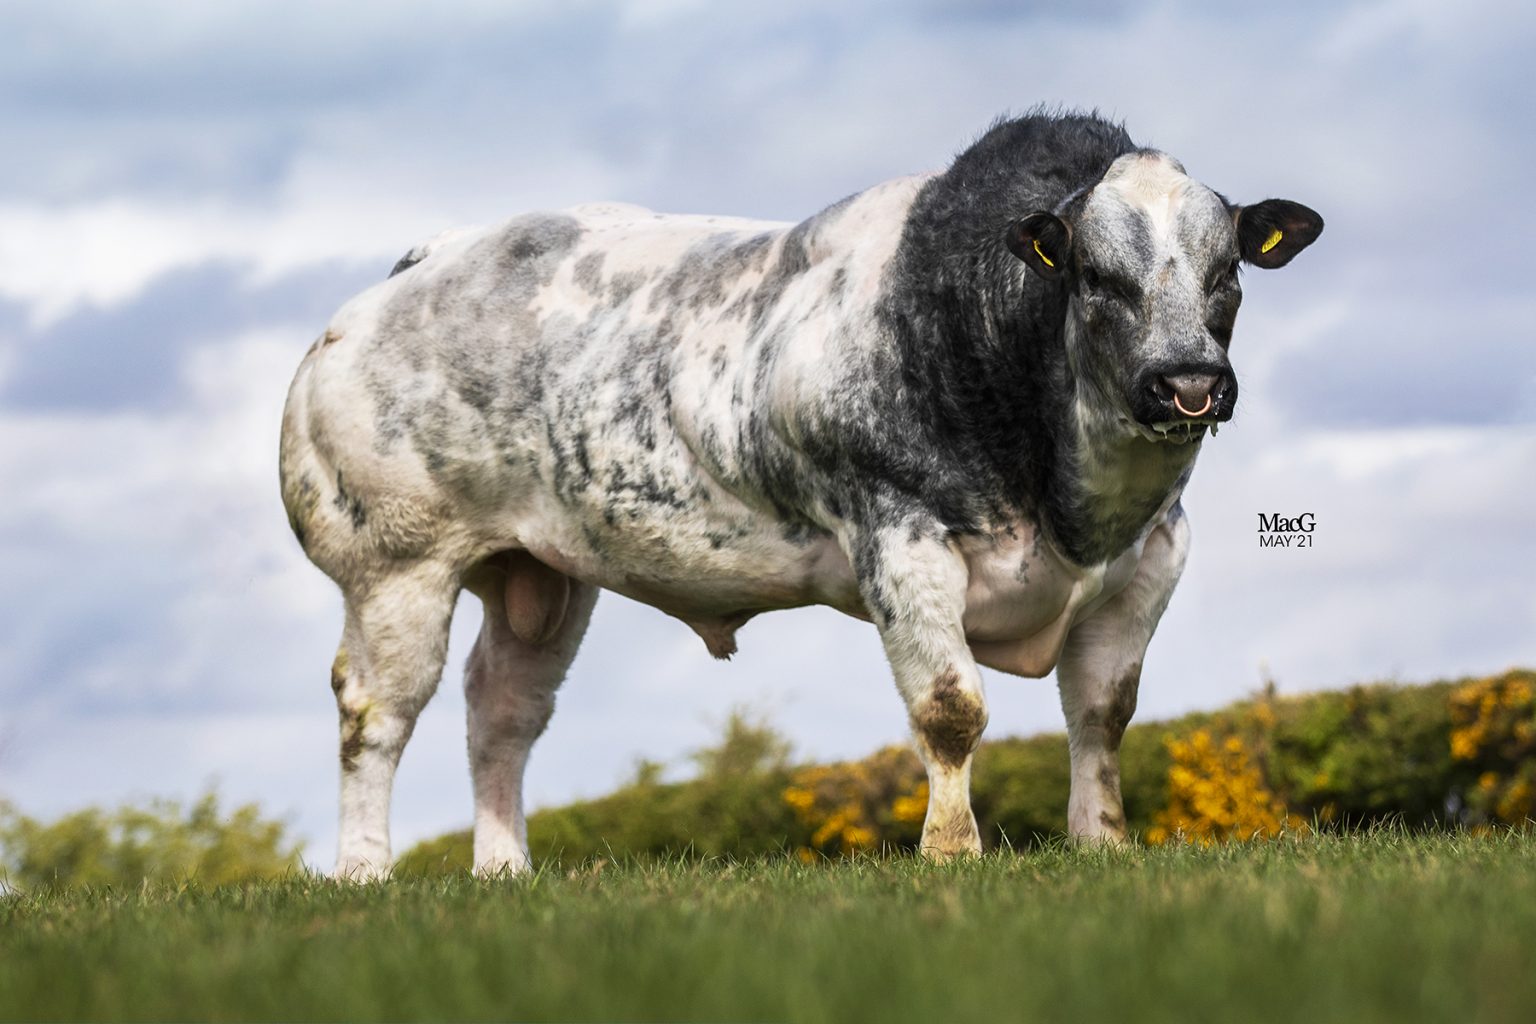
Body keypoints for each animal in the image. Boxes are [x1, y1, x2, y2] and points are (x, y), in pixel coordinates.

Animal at [279, 111, 1322, 877]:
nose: (1188, 383)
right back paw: (364, 871)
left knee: (502, 709)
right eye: (1098, 276)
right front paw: (952, 852)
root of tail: (421, 264)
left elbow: (1102, 713)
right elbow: (951, 707)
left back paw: (504, 870)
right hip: (397, 565)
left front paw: (1099, 843)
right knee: (377, 710)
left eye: (1227, 270)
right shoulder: (898, 536)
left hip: (540, 573)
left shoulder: (1151, 559)